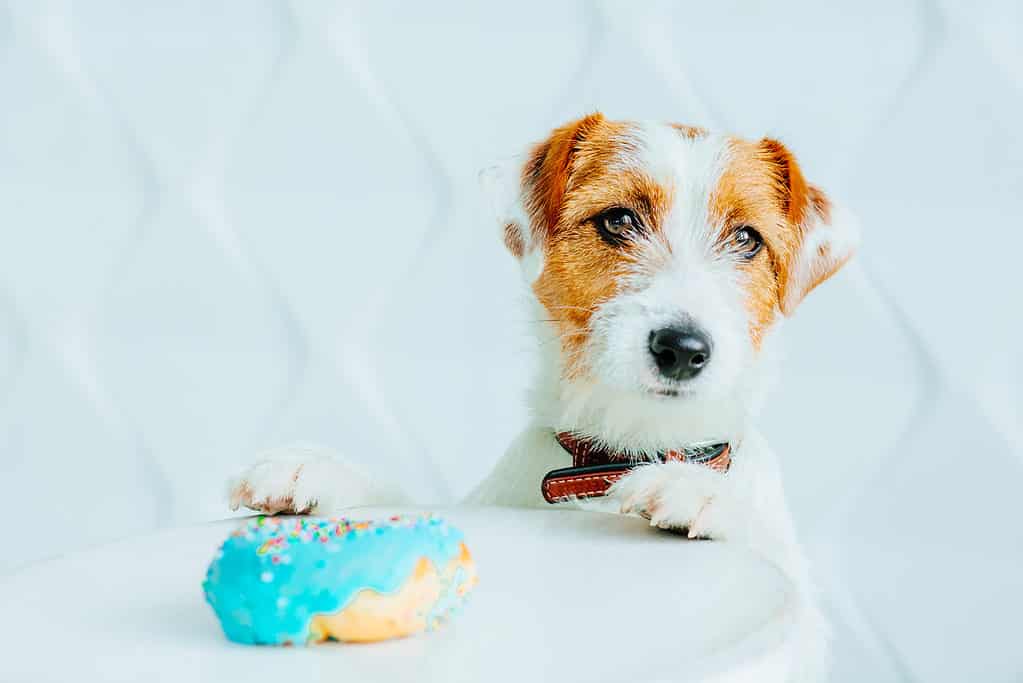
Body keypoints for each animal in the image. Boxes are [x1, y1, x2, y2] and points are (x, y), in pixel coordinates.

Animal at [230, 114, 855, 678]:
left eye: (747, 238)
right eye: (618, 219)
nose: (682, 348)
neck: (624, 451)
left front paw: (699, 490)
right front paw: (316, 470)